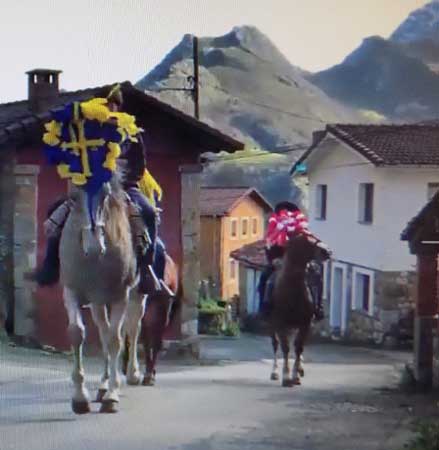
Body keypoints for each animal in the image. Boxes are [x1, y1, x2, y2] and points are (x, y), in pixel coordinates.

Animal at [270, 232, 332, 386]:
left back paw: (300, 369)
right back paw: (274, 372)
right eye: (307, 239)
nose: (328, 251)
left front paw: (295, 375)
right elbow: (285, 347)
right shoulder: (279, 323)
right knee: (275, 344)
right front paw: (286, 376)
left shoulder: (305, 324)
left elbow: (298, 347)